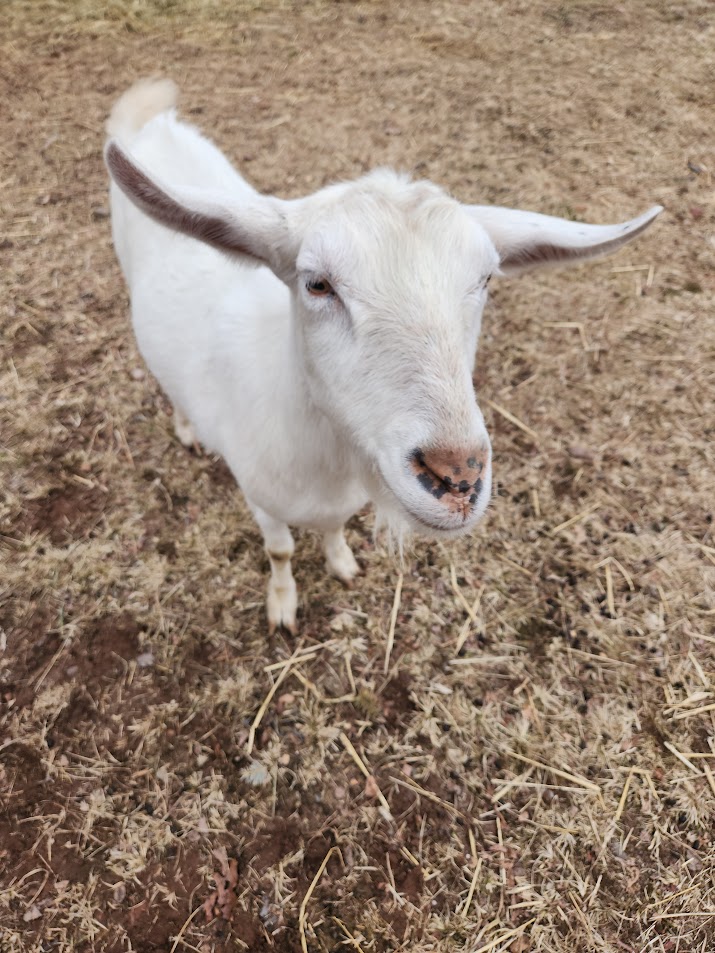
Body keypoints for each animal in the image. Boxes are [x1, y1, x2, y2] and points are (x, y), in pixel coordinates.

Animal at [105, 78, 661, 633]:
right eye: (317, 283)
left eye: (485, 280)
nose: (456, 480)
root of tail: (154, 121)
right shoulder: (259, 496)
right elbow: (280, 550)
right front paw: (283, 605)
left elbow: (332, 529)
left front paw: (342, 564)